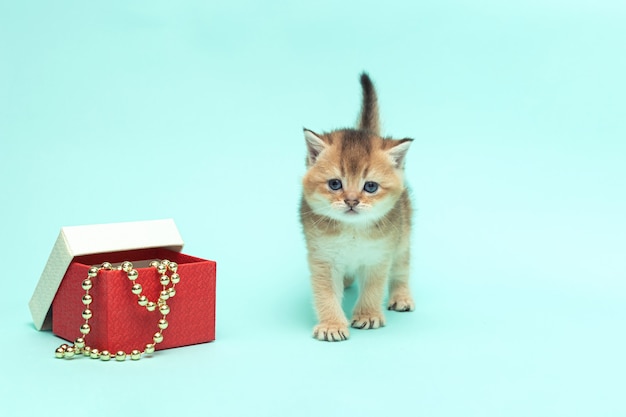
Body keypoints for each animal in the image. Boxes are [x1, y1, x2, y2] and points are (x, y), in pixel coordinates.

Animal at [298, 73, 412, 342]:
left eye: (370, 186)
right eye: (335, 184)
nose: (351, 201)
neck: (352, 231)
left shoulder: (379, 256)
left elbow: (373, 287)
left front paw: (367, 315)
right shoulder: (323, 259)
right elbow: (326, 294)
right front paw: (331, 325)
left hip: (403, 236)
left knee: (401, 267)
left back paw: (401, 296)